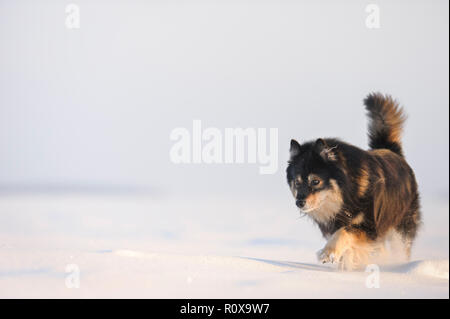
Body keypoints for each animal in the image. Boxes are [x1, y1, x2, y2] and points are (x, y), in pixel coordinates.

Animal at [288, 94, 422, 272]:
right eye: (297, 182)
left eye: (315, 181)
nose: (299, 202)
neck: (348, 193)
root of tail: (392, 151)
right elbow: (347, 243)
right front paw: (344, 267)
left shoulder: (371, 229)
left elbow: (345, 232)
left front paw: (327, 253)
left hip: (400, 229)